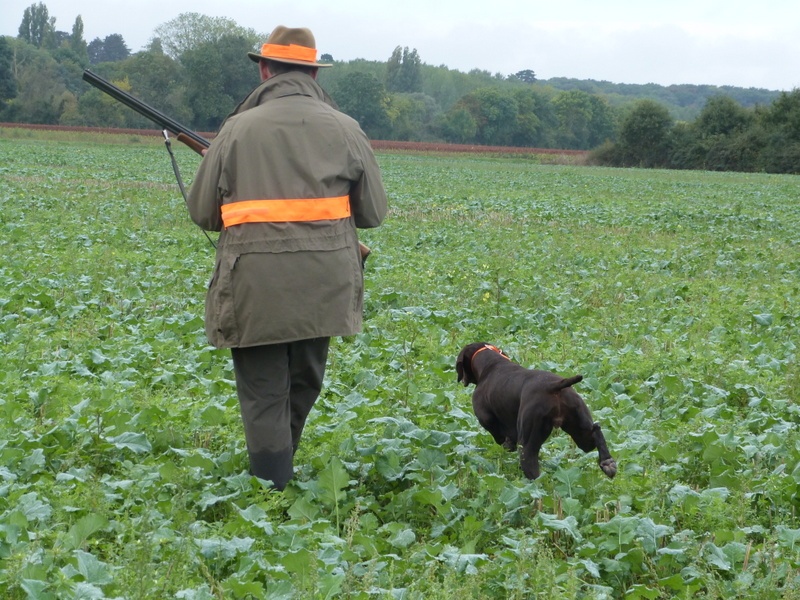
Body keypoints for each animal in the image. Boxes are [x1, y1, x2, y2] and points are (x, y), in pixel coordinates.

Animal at [456, 342, 620, 478]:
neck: (490, 364)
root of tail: (554, 386)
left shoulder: (488, 421)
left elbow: (501, 438)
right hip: (581, 431)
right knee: (596, 430)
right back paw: (607, 463)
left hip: (527, 442)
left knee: (532, 470)